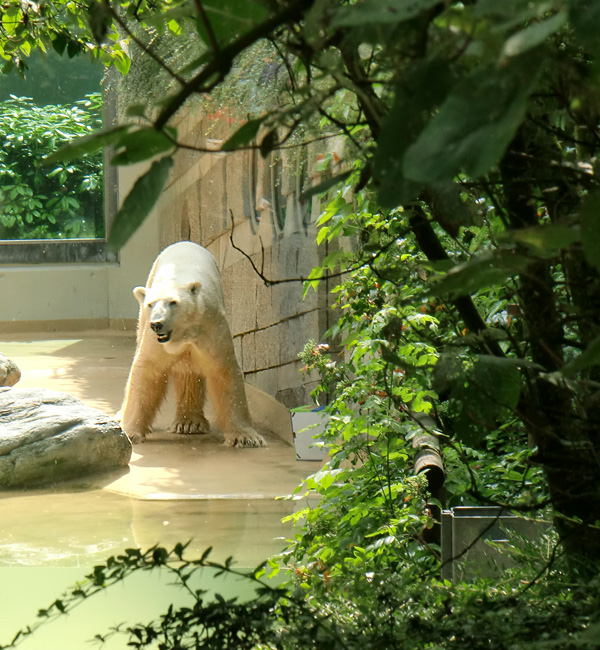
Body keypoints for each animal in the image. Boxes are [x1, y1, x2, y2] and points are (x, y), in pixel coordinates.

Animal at [119, 240, 264, 448]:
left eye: (173, 302)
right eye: (151, 304)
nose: (157, 324)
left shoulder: (210, 326)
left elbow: (223, 370)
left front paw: (246, 437)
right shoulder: (155, 341)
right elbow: (148, 369)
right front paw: (129, 432)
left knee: (189, 371)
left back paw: (189, 423)